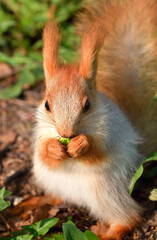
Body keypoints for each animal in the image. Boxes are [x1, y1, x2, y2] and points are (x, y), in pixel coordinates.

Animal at [32, 0, 157, 239]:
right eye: (47, 105)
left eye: (87, 105)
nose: (66, 134)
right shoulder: (41, 133)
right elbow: (44, 154)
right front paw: (53, 148)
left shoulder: (111, 131)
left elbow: (98, 150)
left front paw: (81, 144)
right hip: (49, 180)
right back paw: (39, 202)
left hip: (104, 189)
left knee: (130, 216)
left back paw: (108, 232)